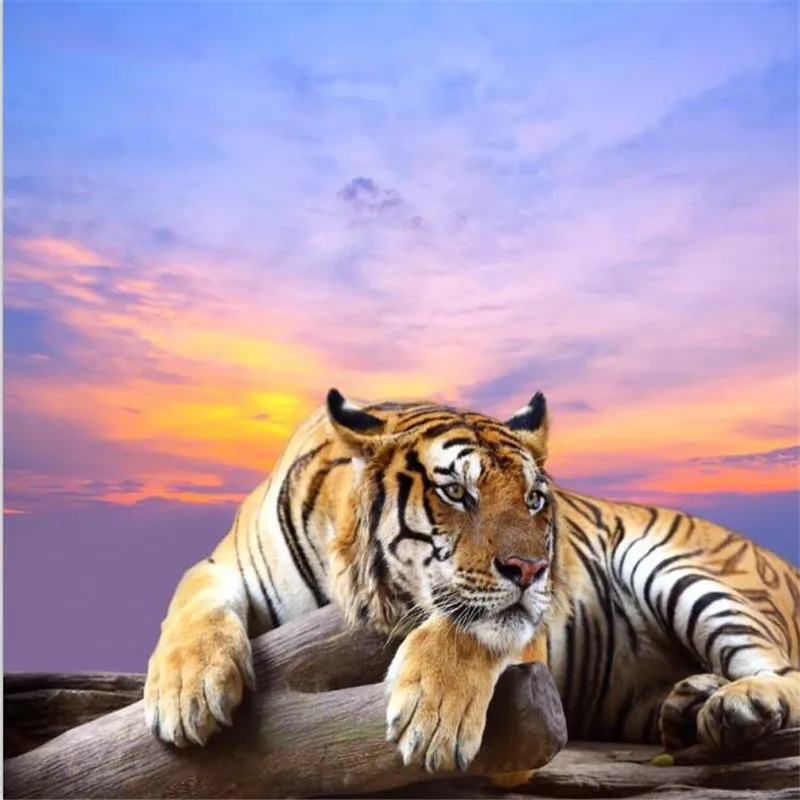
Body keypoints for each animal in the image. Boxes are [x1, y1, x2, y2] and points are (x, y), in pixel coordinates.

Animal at [144, 388, 800, 778]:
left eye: (535, 499)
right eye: (458, 492)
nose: (533, 570)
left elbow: (472, 627)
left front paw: (432, 720)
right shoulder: (222, 564)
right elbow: (192, 603)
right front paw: (186, 695)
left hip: (677, 567)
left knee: (784, 674)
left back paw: (737, 706)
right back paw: (689, 704)